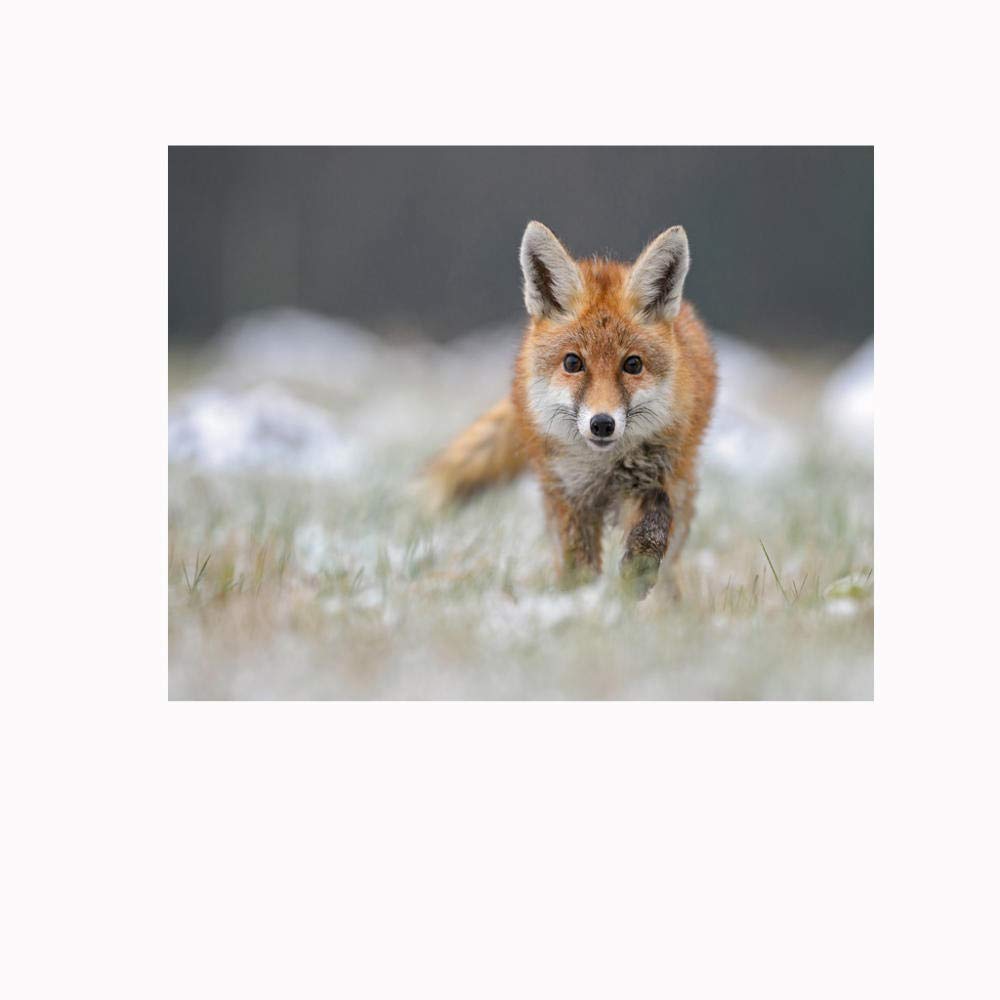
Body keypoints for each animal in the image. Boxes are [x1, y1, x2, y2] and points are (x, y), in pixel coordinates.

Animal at [424, 221, 717, 599]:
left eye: (633, 364)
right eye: (573, 362)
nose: (602, 424)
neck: (603, 468)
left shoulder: (657, 472)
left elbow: (656, 518)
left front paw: (636, 572)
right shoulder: (569, 494)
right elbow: (578, 564)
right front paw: (581, 602)